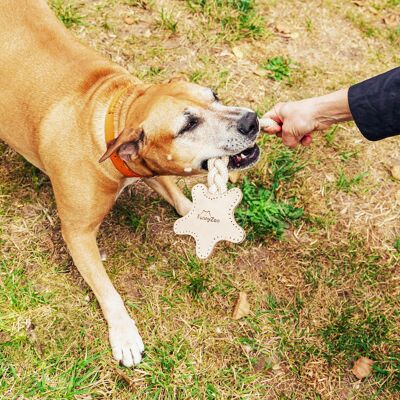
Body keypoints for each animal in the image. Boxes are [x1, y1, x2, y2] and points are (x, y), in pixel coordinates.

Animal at [0, 0, 260, 368]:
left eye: (215, 96)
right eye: (187, 125)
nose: (251, 120)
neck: (112, 118)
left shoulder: (151, 170)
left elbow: (178, 196)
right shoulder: (77, 234)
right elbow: (107, 289)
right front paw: (124, 332)